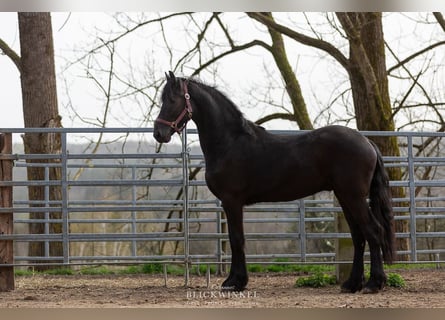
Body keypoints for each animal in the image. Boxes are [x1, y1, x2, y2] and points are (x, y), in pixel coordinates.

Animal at [154, 71, 394, 294]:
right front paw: (234, 280)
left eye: (172, 100)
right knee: (358, 236)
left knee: (374, 231)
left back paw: (374, 284)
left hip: (353, 197)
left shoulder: (232, 201)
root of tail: (367, 142)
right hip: (345, 196)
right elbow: (235, 239)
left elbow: (236, 239)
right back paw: (352, 284)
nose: (158, 133)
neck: (230, 142)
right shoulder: (229, 203)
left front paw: (236, 282)